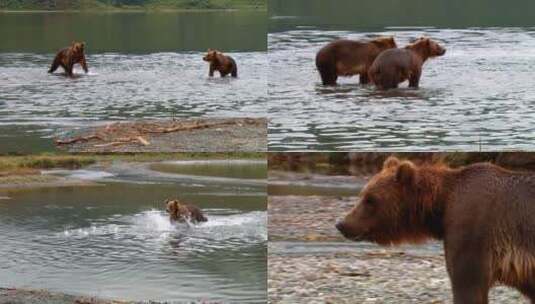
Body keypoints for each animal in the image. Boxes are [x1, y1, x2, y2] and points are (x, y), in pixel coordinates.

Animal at [338, 157, 535, 304]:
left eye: (370, 199)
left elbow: (467, 284)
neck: (441, 206)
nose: (341, 223)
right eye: (363, 194)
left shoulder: (472, 231)